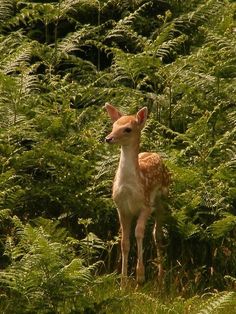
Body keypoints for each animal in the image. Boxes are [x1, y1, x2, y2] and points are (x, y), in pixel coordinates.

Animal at [104, 103, 170, 288]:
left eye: (127, 129)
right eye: (114, 125)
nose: (108, 138)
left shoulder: (145, 205)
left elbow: (139, 233)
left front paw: (140, 276)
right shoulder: (121, 208)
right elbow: (124, 242)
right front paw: (123, 282)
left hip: (162, 200)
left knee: (157, 233)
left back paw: (160, 277)